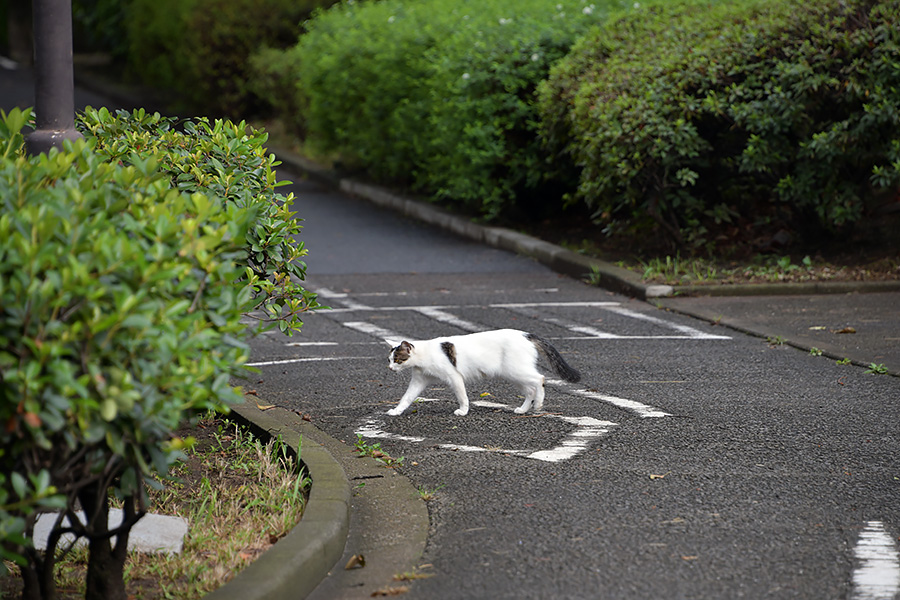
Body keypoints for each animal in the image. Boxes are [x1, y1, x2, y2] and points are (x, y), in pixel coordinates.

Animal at [384, 328, 580, 418]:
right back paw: (523, 409)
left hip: (517, 371)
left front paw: (463, 411)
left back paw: (538, 404)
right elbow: (406, 398)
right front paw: (396, 411)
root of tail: (525, 334)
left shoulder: (454, 377)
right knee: (530, 390)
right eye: (389, 360)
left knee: (540, 379)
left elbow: (462, 397)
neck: (425, 355)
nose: (390, 368)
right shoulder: (419, 380)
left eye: (398, 360)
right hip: (513, 375)